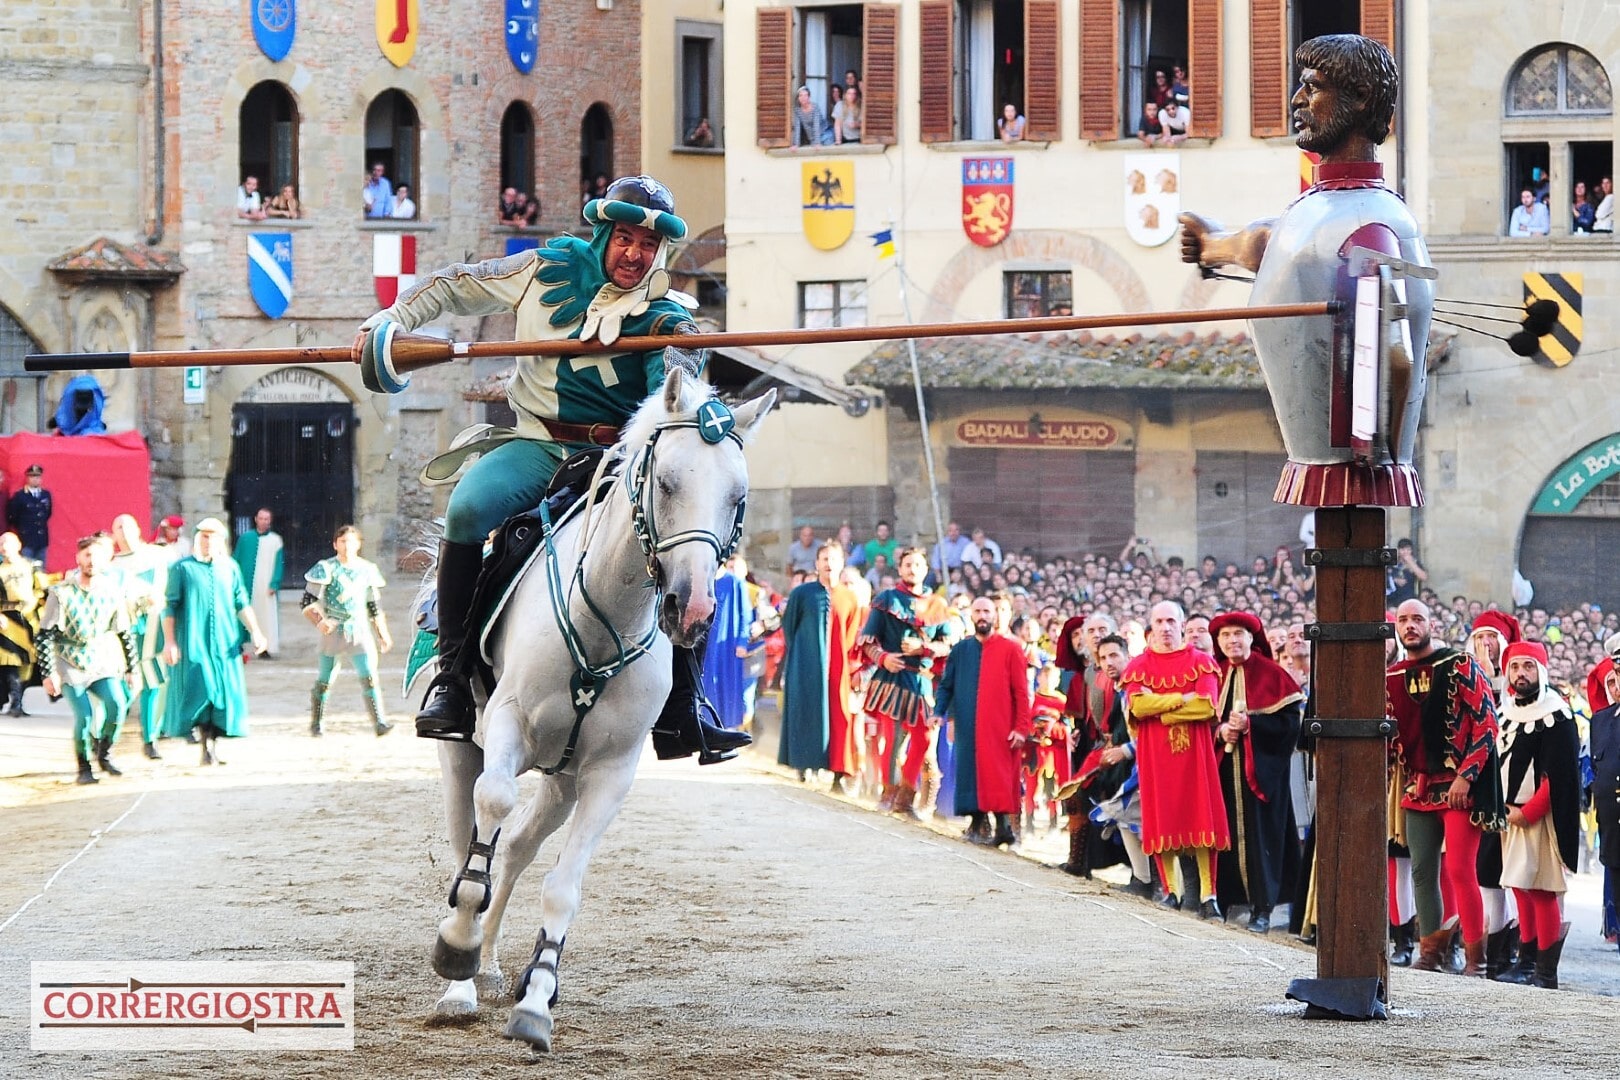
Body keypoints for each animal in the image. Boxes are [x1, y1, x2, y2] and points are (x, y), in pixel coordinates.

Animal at [424, 372, 777, 1049]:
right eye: (667, 482)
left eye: (738, 497)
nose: (692, 609)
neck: (602, 618)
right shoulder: (506, 726)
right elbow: (493, 808)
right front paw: (458, 944)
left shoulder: (611, 772)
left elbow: (563, 887)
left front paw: (536, 1000)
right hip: (462, 749)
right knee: (469, 837)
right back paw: (461, 978)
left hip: (562, 780)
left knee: (517, 849)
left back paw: (493, 966)